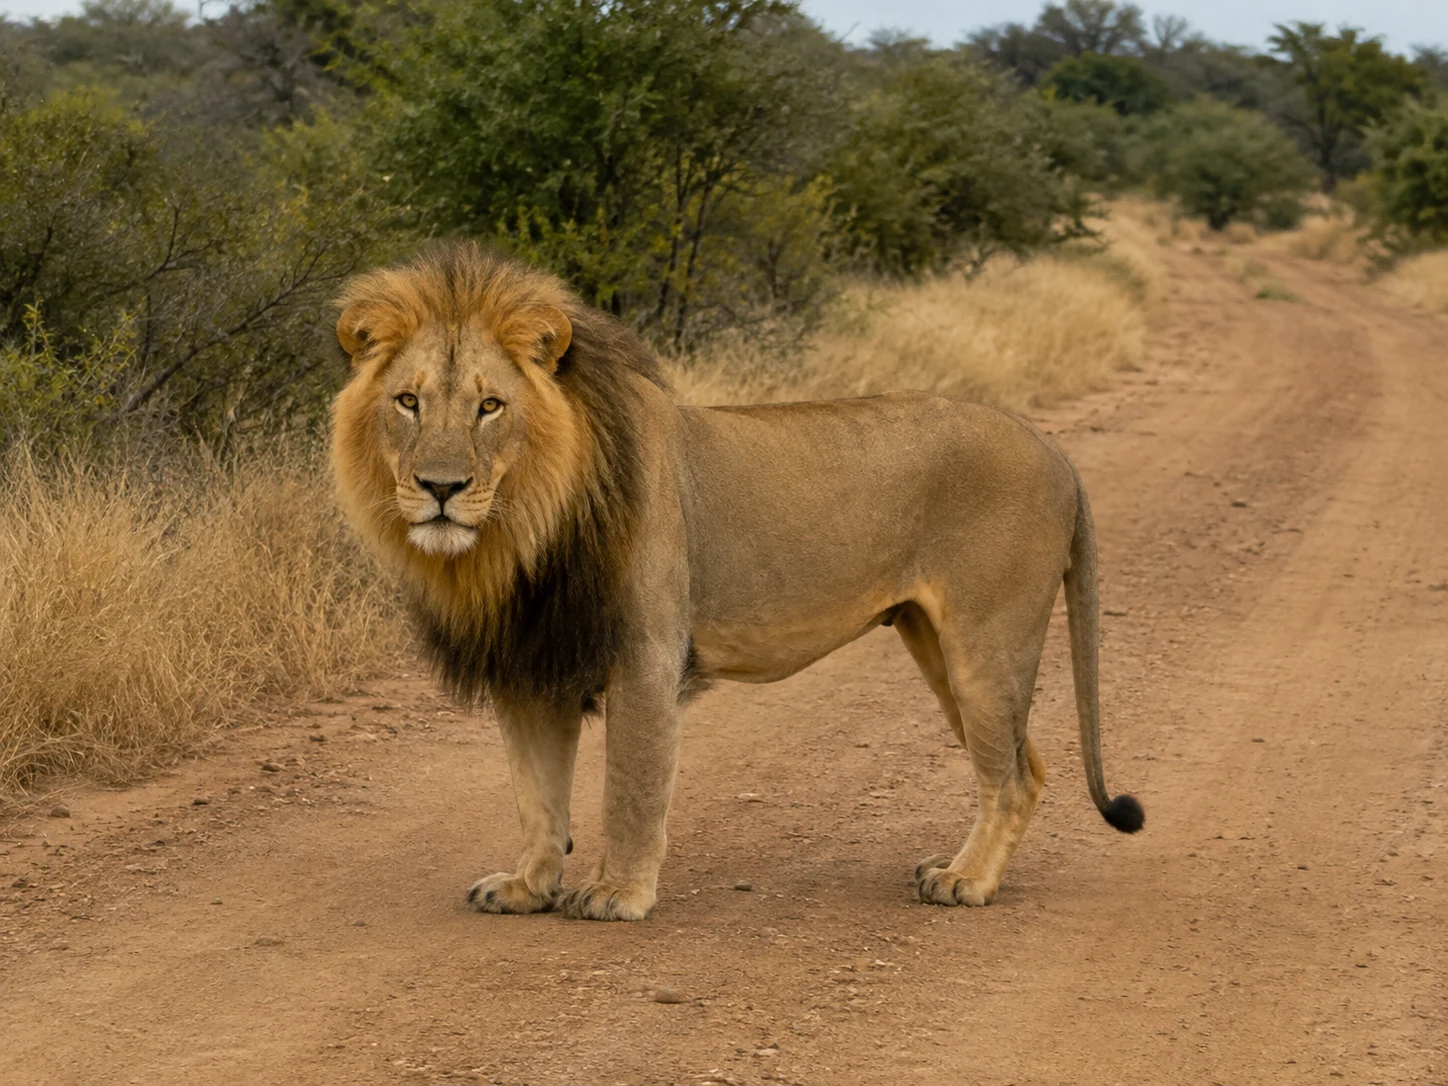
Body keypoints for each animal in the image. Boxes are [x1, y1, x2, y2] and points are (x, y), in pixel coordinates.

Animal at [331, 243, 1143, 922]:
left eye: (489, 406)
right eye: (408, 402)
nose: (440, 487)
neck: (523, 531)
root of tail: (1053, 448)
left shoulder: (646, 656)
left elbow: (630, 784)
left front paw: (618, 893)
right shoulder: (533, 661)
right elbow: (537, 796)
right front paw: (527, 887)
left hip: (986, 643)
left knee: (1011, 776)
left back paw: (966, 881)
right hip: (937, 643)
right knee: (1024, 764)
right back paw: (960, 866)